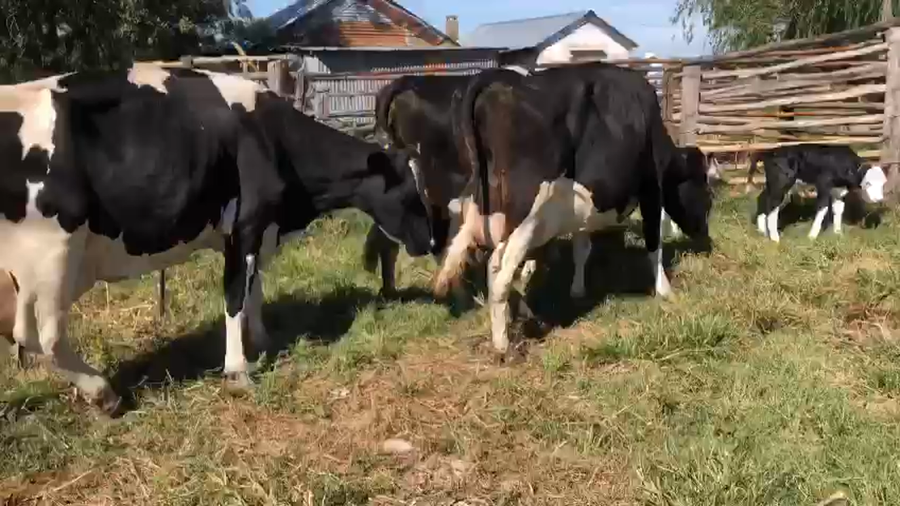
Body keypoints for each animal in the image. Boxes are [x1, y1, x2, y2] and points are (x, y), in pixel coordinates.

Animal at [0, 65, 433, 416]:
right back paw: (103, 392)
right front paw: (238, 370)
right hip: (55, 253)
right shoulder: (245, 225)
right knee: (46, 335)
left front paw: (263, 338)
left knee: (26, 333)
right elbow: (235, 295)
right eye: (410, 190)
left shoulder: (260, 231)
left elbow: (255, 288)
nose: (430, 242)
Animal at [432, 64, 714, 355]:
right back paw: (503, 344)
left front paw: (577, 290)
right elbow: (653, 243)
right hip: (527, 214)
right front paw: (664, 289)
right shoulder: (650, 190)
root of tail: (491, 80)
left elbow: (582, 248)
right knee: (497, 272)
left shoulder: (581, 209)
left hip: (482, 210)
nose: (705, 235)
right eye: (707, 192)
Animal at [747, 144, 886, 242]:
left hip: (773, 185)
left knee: (763, 199)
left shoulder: (839, 191)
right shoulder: (823, 186)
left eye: (883, 183)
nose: (879, 199)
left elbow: (838, 210)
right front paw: (812, 236)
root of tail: (769, 152)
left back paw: (763, 231)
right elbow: (822, 209)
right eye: (868, 183)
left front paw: (838, 234)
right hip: (781, 184)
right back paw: (775, 238)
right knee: (773, 206)